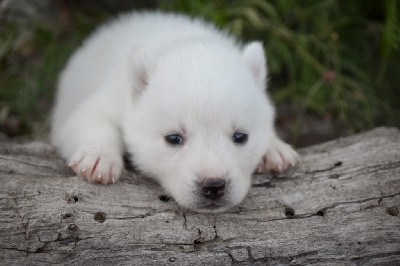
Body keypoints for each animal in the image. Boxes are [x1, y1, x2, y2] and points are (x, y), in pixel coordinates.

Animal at [50, 11, 296, 213]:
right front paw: (98, 158)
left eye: (240, 136)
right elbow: (90, 117)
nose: (213, 186)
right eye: (174, 138)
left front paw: (275, 149)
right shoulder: (113, 95)